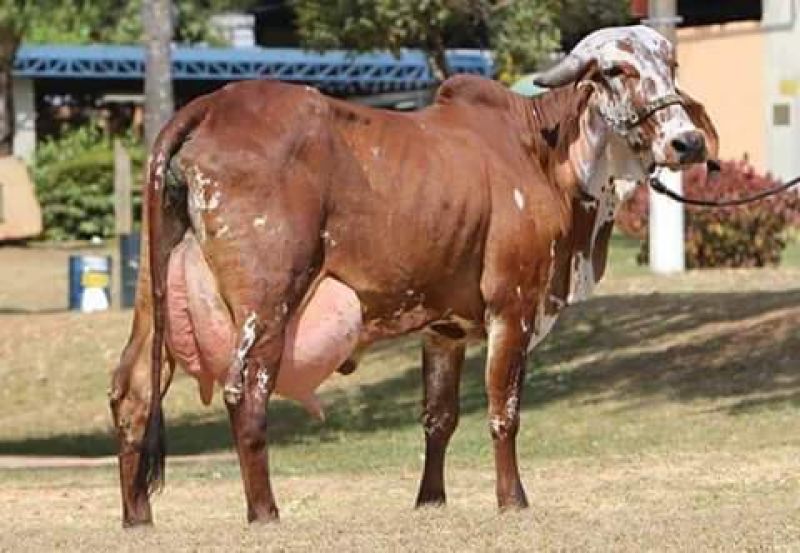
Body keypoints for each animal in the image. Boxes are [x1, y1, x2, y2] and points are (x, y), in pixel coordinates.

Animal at [109, 25, 718, 526]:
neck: (545, 154)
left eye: (671, 65)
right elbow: (504, 412)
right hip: (269, 298)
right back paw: (264, 512)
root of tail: (210, 106)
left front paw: (431, 500)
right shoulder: (514, 307)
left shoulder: (443, 330)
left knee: (131, 390)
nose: (687, 141)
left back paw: (138, 516)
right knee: (245, 391)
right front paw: (513, 500)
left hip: (153, 293)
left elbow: (439, 418)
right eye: (616, 70)